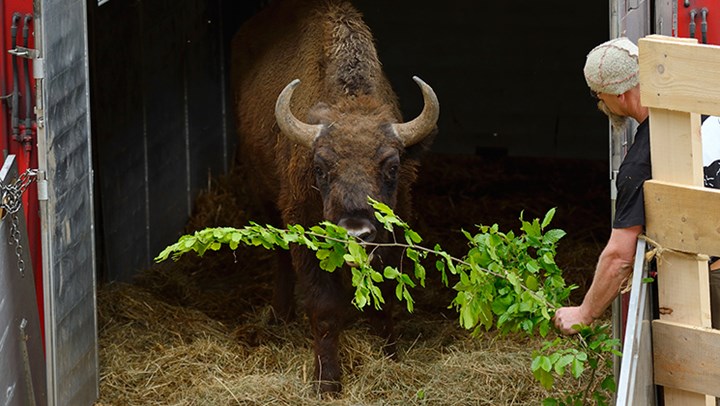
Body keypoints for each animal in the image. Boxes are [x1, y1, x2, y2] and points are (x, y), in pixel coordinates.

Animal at [233, 0, 438, 394]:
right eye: (320, 167)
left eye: (391, 166)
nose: (355, 231)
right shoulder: (304, 230)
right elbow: (325, 306)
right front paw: (326, 381)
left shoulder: (394, 231)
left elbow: (383, 299)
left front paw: (390, 357)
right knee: (280, 258)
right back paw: (280, 314)